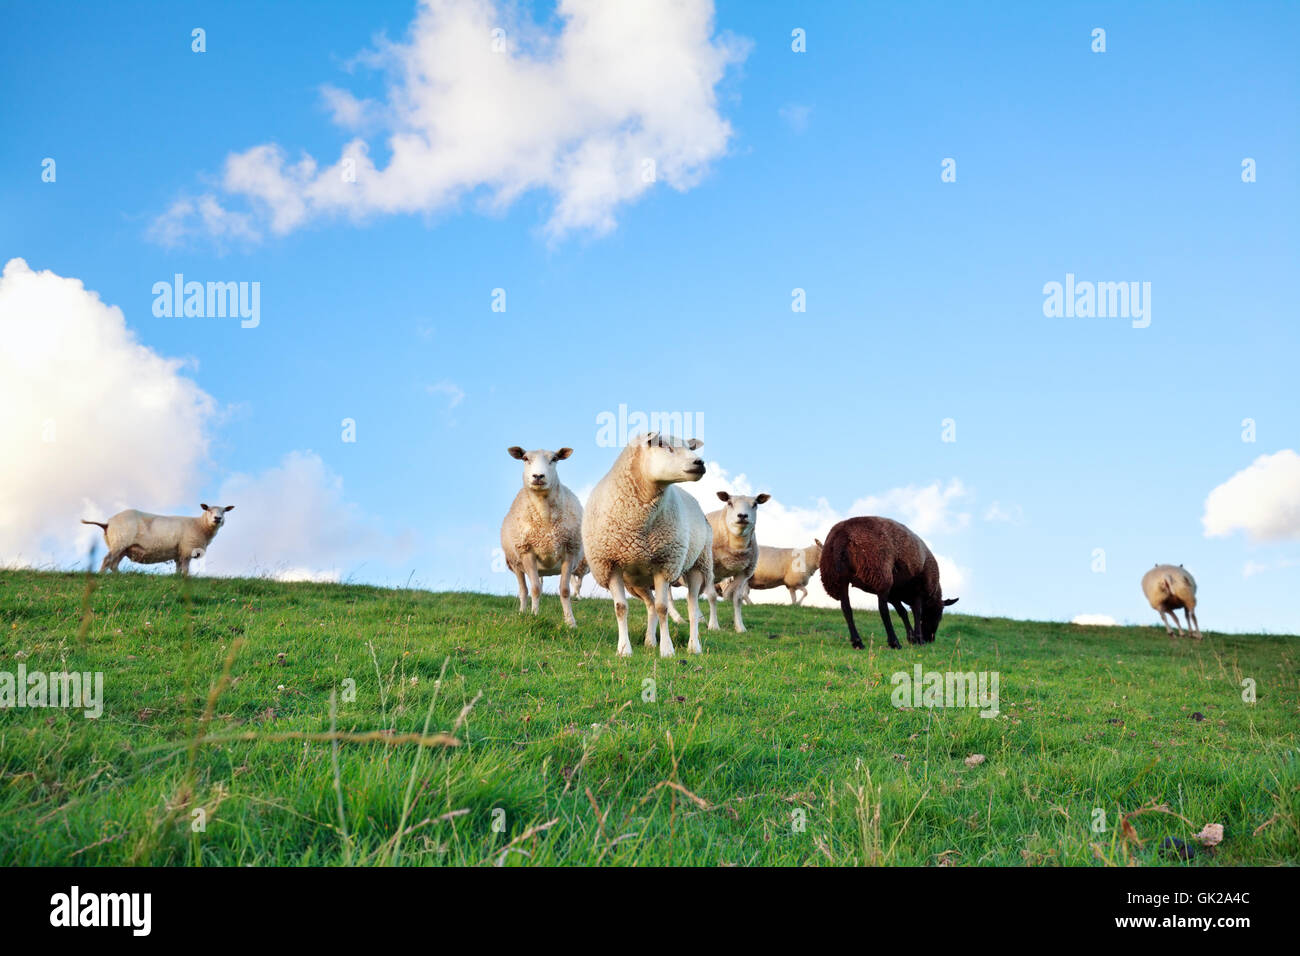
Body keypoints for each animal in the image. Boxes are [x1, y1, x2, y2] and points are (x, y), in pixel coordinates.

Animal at [81, 504, 234, 576]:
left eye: (224, 511)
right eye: (208, 510)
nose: (217, 518)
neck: (200, 525)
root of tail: (108, 523)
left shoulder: (179, 552)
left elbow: (178, 568)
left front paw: (178, 578)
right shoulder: (186, 549)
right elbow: (185, 569)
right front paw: (186, 578)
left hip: (122, 547)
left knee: (113, 564)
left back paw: (119, 576)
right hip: (119, 542)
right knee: (107, 560)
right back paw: (101, 575)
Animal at [500, 446, 583, 628]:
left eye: (554, 459)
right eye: (525, 458)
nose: (538, 476)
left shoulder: (570, 551)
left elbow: (565, 590)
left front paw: (570, 622)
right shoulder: (527, 552)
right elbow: (535, 589)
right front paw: (534, 616)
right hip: (516, 564)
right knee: (524, 590)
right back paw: (522, 612)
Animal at [582, 433, 713, 657]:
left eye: (689, 447)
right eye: (661, 444)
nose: (699, 462)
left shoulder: (665, 563)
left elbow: (663, 608)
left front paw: (667, 650)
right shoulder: (610, 564)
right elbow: (621, 608)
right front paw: (624, 649)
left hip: (698, 565)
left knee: (692, 607)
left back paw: (694, 646)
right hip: (637, 581)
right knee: (650, 604)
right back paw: (650, 640)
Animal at [818, 516, 958, 649]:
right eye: (938, 615)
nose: (930, 639)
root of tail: (843, 534)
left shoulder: (894, 594)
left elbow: (903, 612)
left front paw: (912, 638)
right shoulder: (919, 590)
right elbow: (917, 613)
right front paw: (919, 639)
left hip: (837, 577)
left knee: (846, 608)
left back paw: (858, 642)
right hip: (879, 571)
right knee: (883, 610)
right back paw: (894, 642)